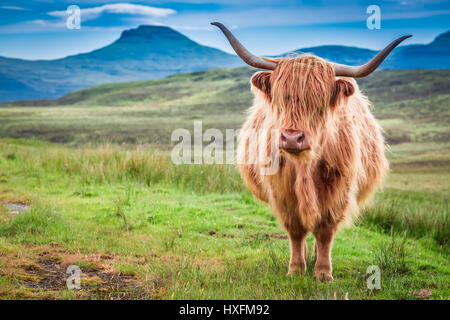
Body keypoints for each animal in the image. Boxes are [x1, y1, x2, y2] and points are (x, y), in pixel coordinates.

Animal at [213, 22, 410, 282]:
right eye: (282, 98)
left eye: (319, 101)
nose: (291, 137)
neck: (304, 165)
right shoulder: (282, 193)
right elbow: (296, 231)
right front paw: (296, 269)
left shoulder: (338, 191)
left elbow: (325, 231)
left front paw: (323, 273)